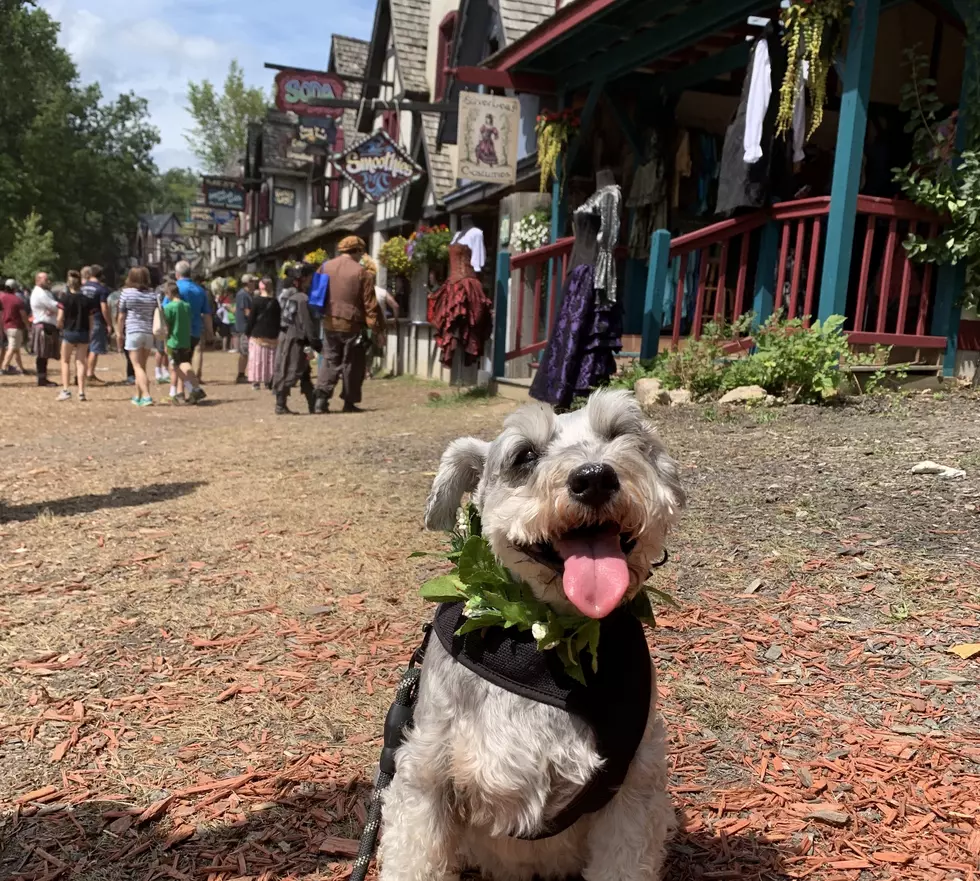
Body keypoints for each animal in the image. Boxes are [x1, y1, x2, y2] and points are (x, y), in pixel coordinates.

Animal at [378, 392, 684, 880]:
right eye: (524, 455)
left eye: (622, 434)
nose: (594, 477)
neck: (543, 648)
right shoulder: (424, 777)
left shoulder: (632, 792)